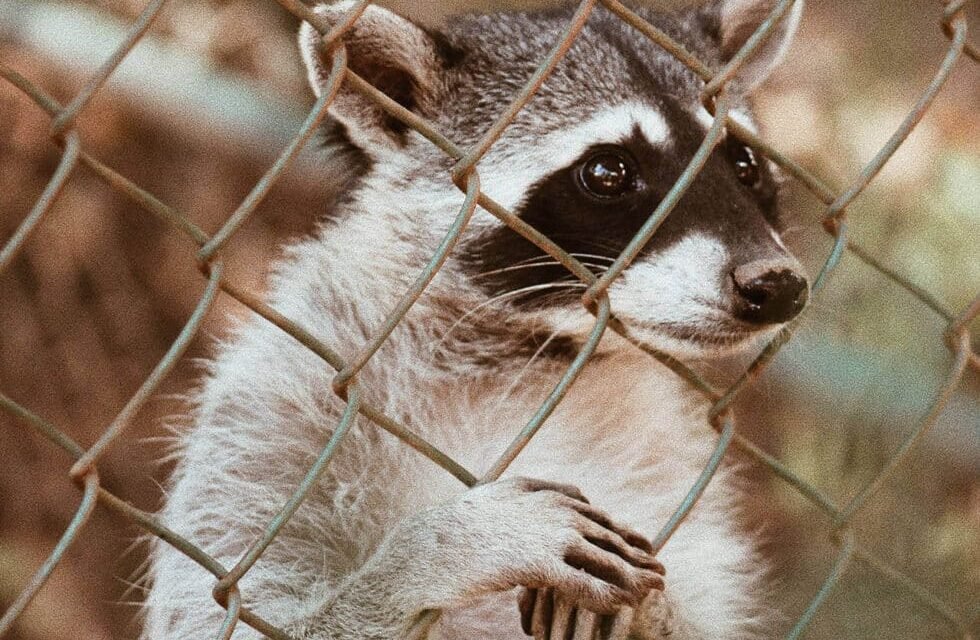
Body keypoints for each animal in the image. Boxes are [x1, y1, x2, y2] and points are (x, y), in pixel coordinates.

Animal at [142, 1, 808, 638]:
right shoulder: (268, 416)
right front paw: (436, 548)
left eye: (745, 164)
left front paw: (655, 612)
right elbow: (221, 616)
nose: (778, 286)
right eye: (608, 172)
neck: (525, 355)